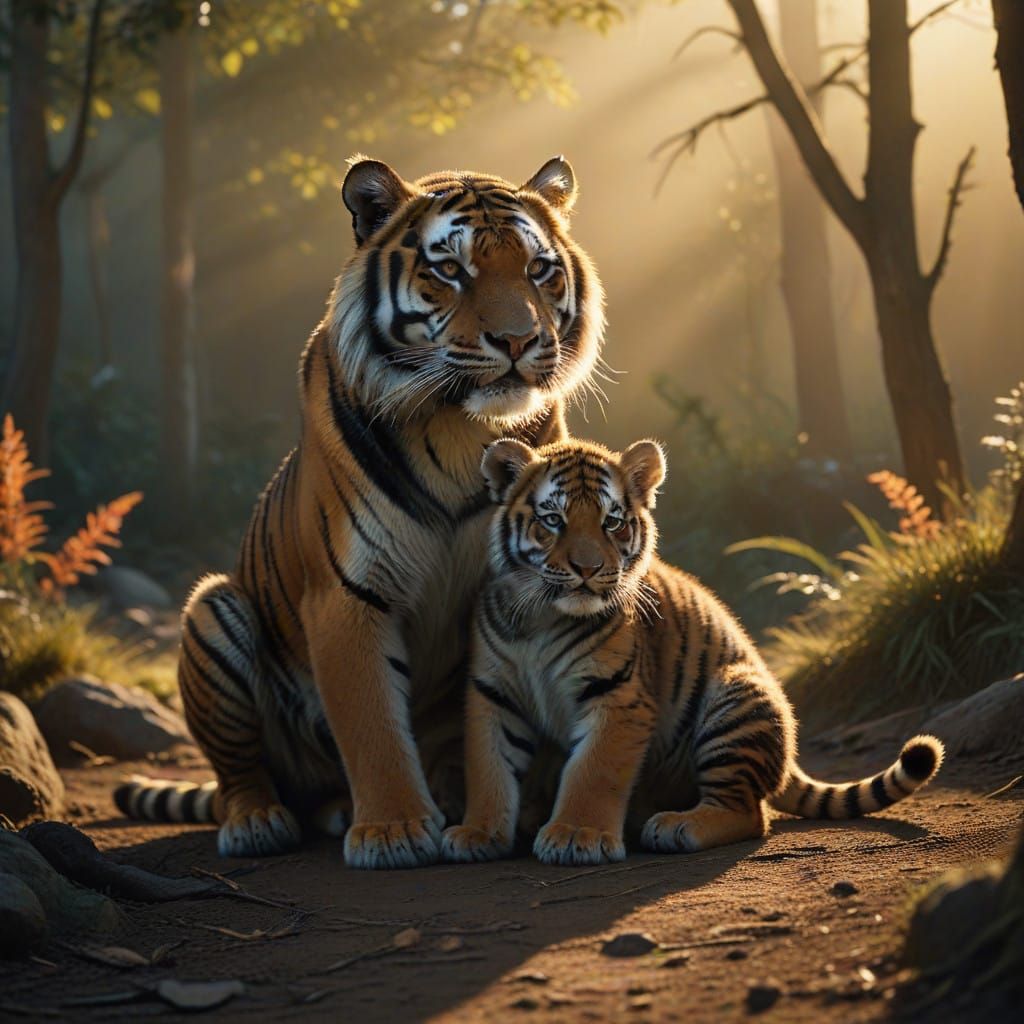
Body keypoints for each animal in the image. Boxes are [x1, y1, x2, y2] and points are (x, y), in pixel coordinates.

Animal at [114, 156, 605, 868]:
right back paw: (262, 820)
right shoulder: (348, 592)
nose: (518, 339)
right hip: (213, 608)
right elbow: (372, 722)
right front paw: (395, 830)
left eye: (539, 269)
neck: (461, 428)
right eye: (450, 269)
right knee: (242, 773)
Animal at [440, 436, 944, 866]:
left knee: (750, 814)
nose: (588, 569)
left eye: (611, 522)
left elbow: (593, 771)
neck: (543, 619)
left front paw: (575, 835)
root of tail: (788, 762)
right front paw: (477, 833)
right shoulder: (491, 695)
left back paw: (675, 826)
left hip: (736, 702)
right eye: (552, 521)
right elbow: (487, 769)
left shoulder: (619, 696)